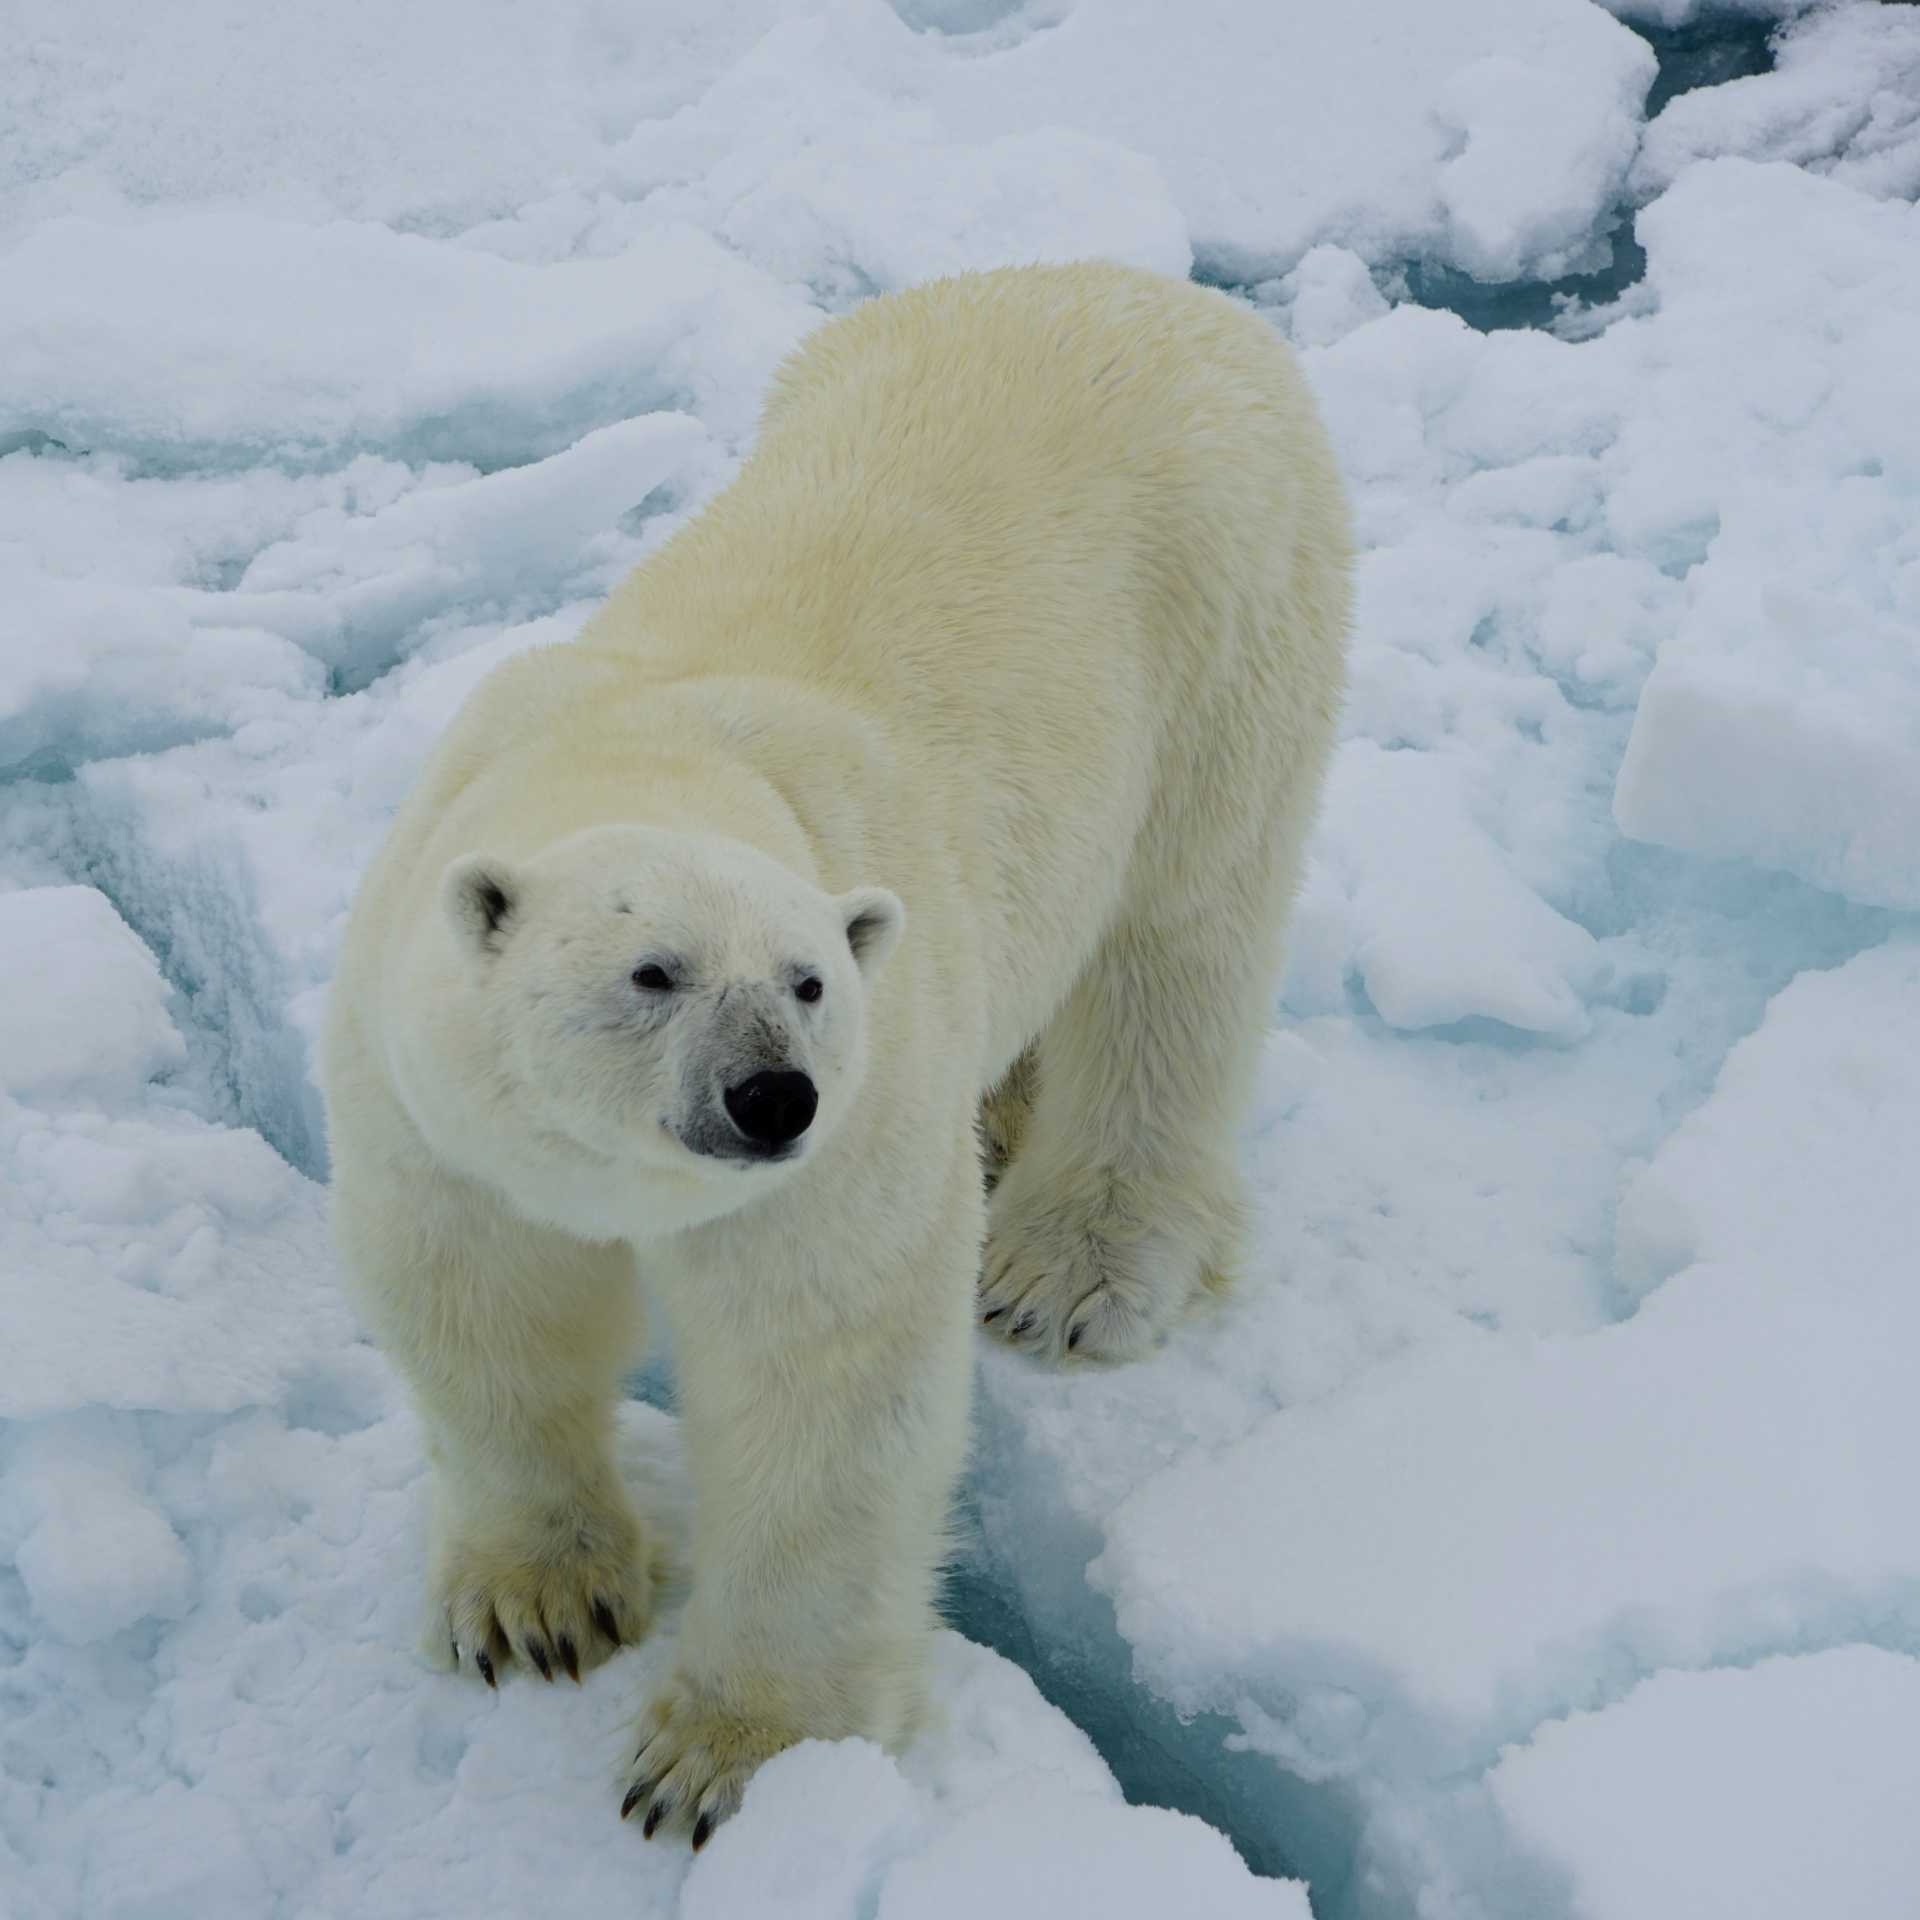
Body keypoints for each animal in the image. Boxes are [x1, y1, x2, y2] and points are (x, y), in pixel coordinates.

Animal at [321, 259, 1351, 1845]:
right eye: (651, 974)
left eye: (807, 984)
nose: (771, 1099)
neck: (648, 750)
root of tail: (1145, 285)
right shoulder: (423, 1101)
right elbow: (481, 1305)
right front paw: (534, 1608)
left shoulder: (855, 1134)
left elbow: (824, 1384)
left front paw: (723, 1759)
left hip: (1231, 617)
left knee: (1178, 943)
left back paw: (1073, 1263)